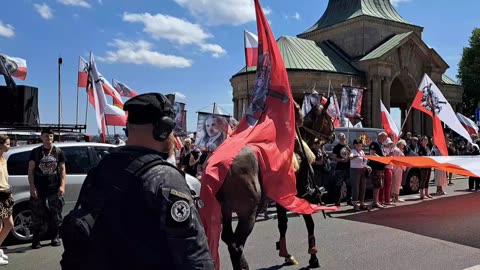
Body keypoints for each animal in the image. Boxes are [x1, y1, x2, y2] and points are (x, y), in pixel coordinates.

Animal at [217, 99, 334, 270]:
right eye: (330, 118)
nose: (333, 136)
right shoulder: (301, 196)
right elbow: (310, 224)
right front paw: (313, 257)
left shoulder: (282, 200)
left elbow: (282, 224)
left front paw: (286, 254)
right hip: (248, 213)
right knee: (236, 245)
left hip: (225, 209)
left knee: (228, 239)